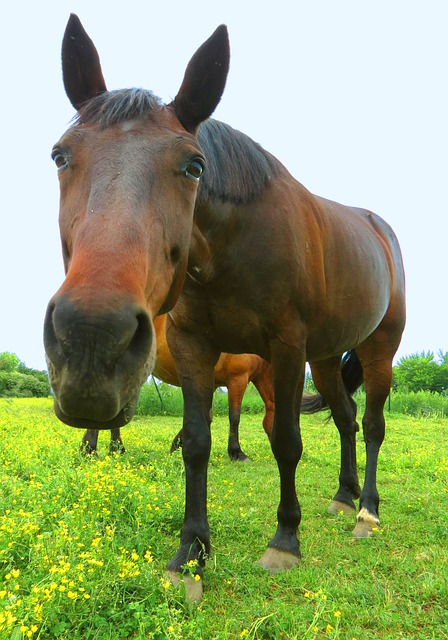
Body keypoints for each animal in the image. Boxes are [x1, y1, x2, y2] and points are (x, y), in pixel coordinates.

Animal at [82, 312, 274, 458]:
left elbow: (207, 416)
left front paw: (176, 445)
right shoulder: (238, 378)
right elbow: (234, 417)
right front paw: (237, 452)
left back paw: (116, 449)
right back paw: (91, 450)